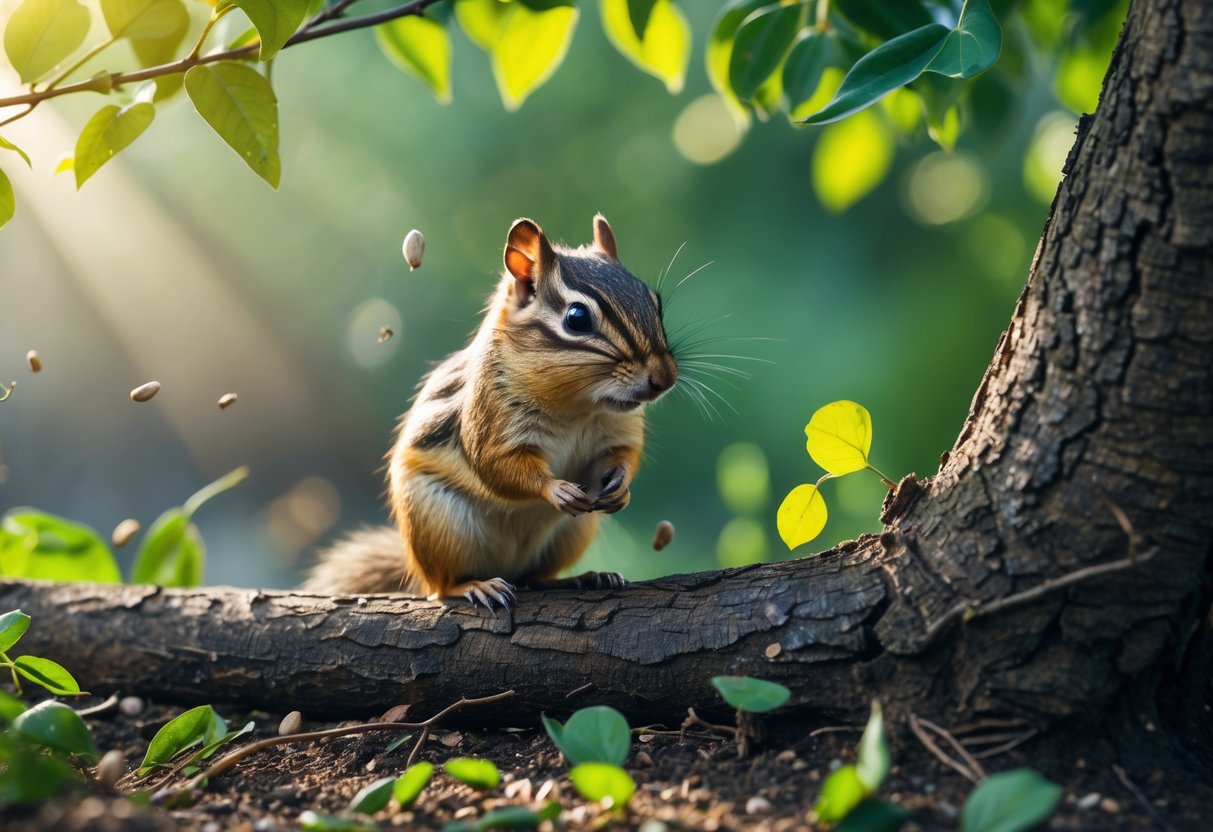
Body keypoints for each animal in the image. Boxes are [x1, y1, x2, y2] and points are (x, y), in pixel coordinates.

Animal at [301, 215, 678, 610]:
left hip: (570, 535)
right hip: (440, 526)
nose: (665, 378)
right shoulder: (490, 420)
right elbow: (497, 466)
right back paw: (475, 586)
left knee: (535, 578)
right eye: (577, 318)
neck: (578, 407)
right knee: (442, 586)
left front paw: (622, 488)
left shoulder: (619, 430)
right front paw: (555, 489)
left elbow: (623, 455)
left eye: (655, 301)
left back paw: (584, 578)